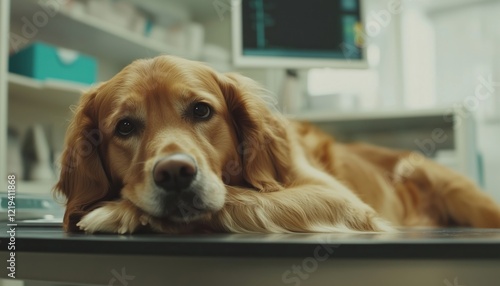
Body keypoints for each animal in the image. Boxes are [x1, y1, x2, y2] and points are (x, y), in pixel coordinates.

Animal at [55, 54, 500, 233]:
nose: (175, 173)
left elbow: (245, 197)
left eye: (201, 110)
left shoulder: (339, 199)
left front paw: (117, 210)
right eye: (125, 127)